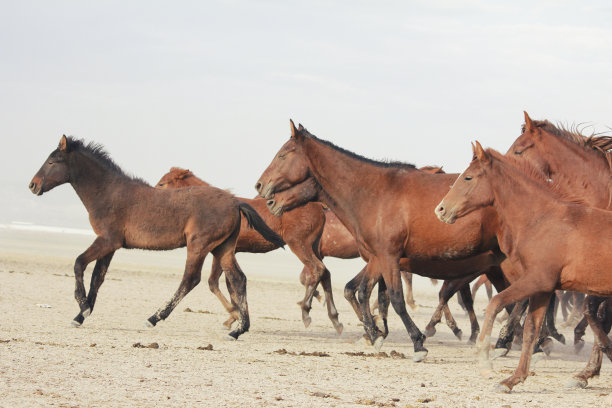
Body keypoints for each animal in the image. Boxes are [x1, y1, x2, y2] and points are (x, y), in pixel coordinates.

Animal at [29, 135, 284, 340]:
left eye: (52, 161)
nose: (33, 185)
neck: (109, 192)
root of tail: (234, 202)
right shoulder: (111, 245)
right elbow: (97, 278)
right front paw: (81, 315)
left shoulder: (107, 240)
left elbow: (79, 263)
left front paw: (82, 307)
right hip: (223, 248)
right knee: (238, 279)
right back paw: (238, 329)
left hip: (199, 245)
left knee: (190, 279)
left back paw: (154, 318)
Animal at [154, 167, 344, 334]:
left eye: (162, 183)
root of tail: (319, 206)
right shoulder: (230, 252)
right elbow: (229, 283)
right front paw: (235, 317)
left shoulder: (220, 251)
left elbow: (214, 283)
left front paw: (234, 317)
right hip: (314, 246)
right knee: (325, 273)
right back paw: (335, 320)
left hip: (299, 244)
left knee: (317, 269)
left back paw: (306, 313)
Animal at [256, 118, 504, 360]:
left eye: (283, 154)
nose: (261, 188)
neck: (375, 193)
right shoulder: (378, 258)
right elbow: (362, 291)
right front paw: (375, 333)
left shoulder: (388, 256)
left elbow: (393, 298)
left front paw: (415, 342)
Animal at [436, 141, 612, 392]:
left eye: (468, 177)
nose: (440, 210)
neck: (542, 220)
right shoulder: (543, 288)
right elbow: (530, 330)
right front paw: (513, 379)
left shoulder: (537, 280)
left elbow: (495, 304)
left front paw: (485, 359)